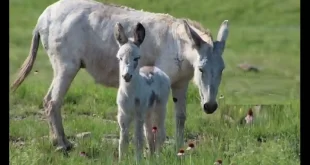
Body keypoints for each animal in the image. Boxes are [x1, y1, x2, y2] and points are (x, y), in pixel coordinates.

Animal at [115, 21, 171, 161]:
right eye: (120, 58)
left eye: (137, 58)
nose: (126, 76)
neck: (129, 94)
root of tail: (155, 69)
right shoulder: (123, 115)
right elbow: (123, 141)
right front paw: (121, 160)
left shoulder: (138, 115)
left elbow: (138, 140)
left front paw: (138, 160)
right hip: (148, 112)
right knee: (150, 134)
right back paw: (151, 156)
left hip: (160, 108)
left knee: (160, 133)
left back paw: (158, 157)